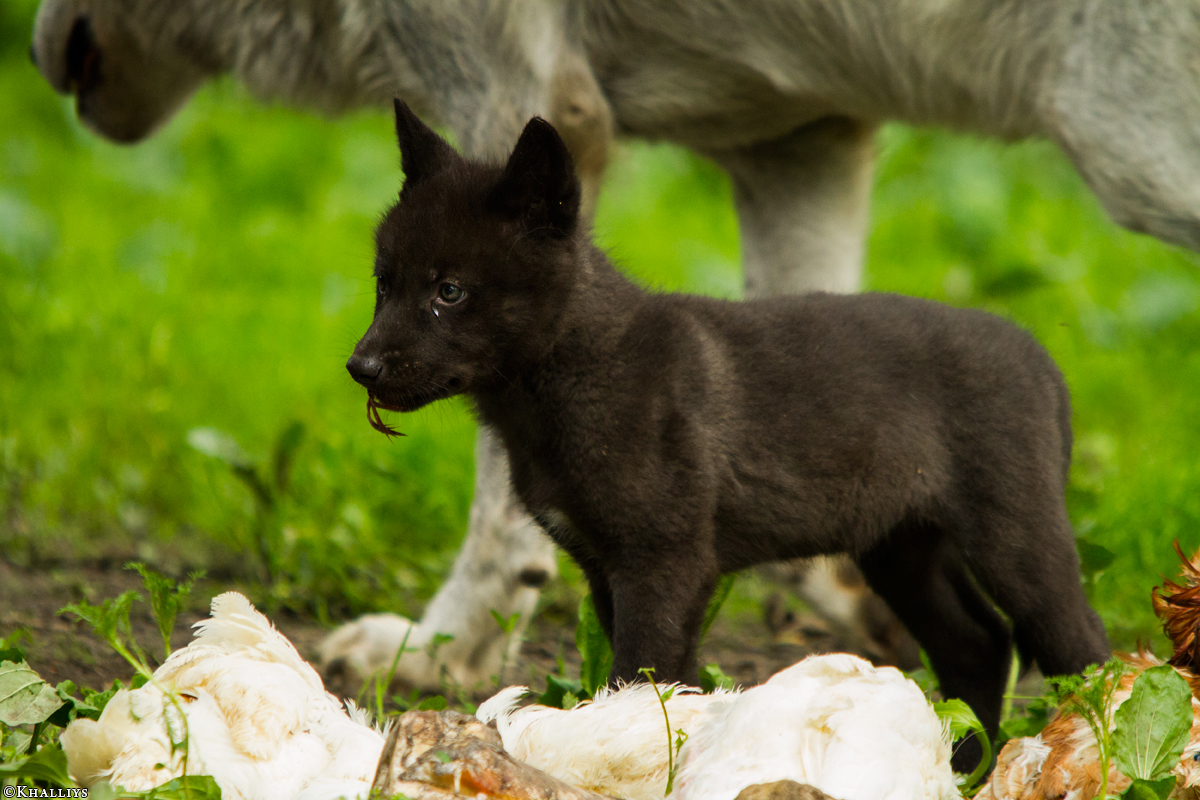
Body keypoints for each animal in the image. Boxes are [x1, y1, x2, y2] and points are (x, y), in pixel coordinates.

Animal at [346, 102, 1111, 763]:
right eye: (384, 285)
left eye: (449, 292)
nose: (360, 366)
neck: (573, 374)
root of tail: (1043, 362)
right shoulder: (608, 567)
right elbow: (660, 683)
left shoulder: (664, 561)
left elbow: (642, 675)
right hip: (901, 548)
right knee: (977, 646)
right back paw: (967, 765)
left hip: (1016, 537)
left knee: (1083, 648)